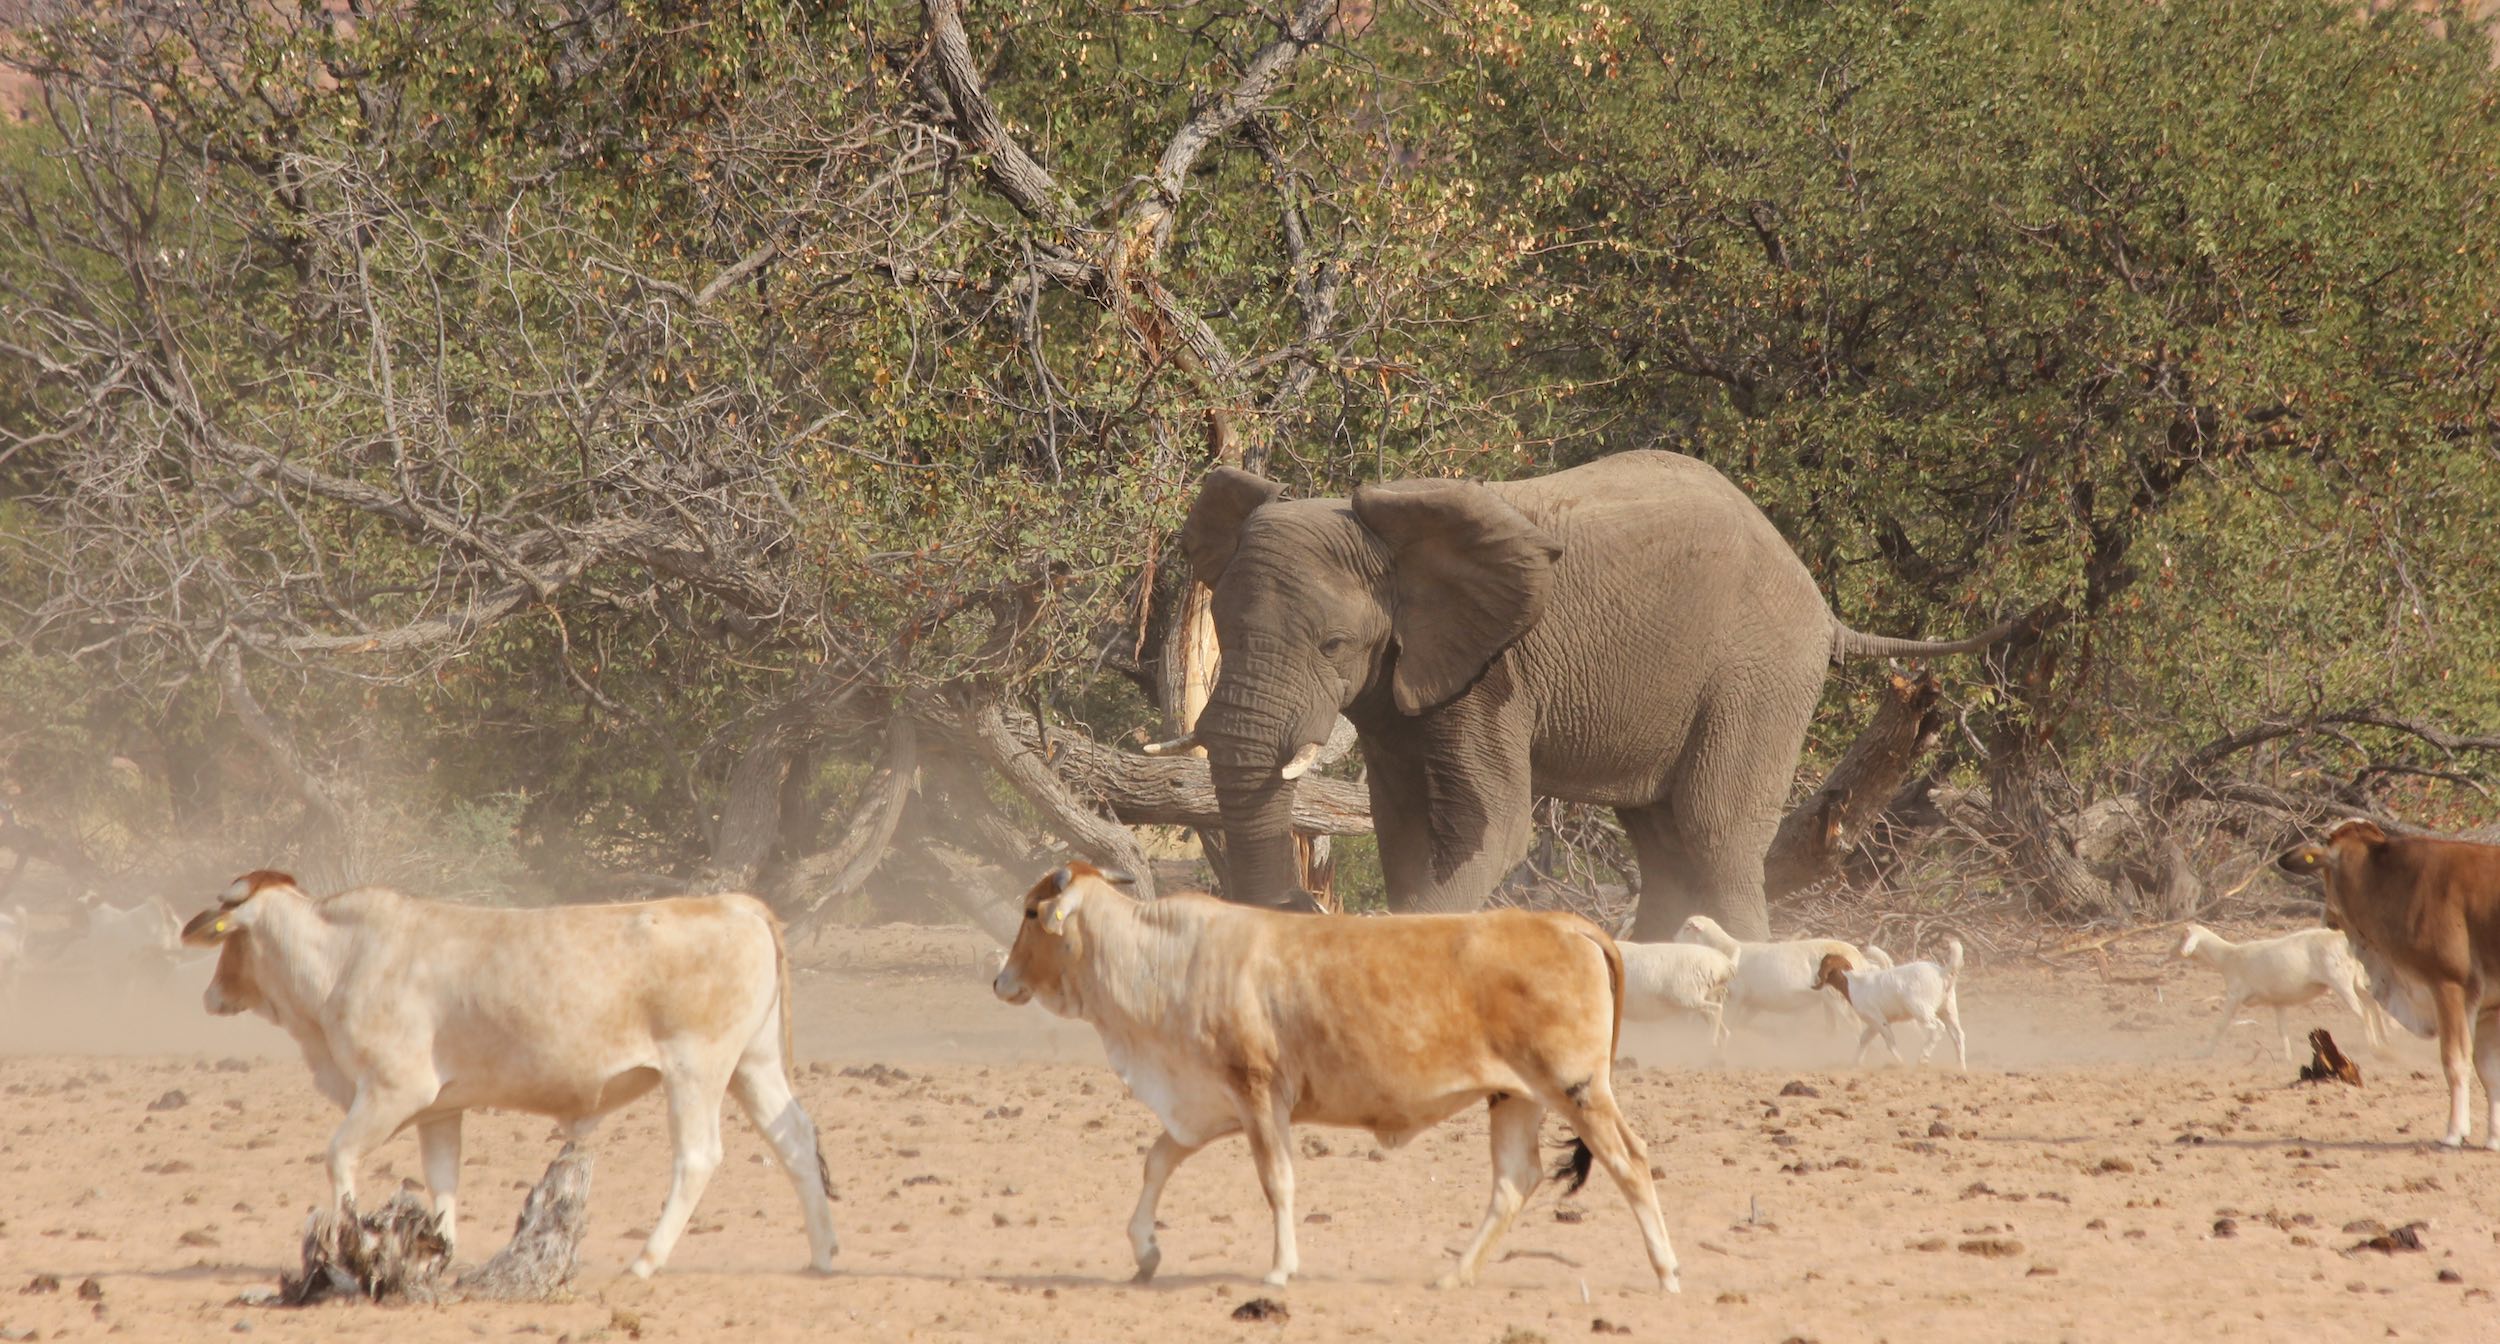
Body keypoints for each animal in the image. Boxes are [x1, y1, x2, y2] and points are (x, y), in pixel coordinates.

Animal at [179, 869, 840, 1276]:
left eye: (229, 940)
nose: (209, 994)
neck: (342, 957)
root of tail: (735, 903)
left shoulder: (393, 1090)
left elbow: (339, 1156)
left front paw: (349, 1244)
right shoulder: (439, 1108)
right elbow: (442, 1180)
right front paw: (440, 1253)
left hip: (695, 1071)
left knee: (698, 1157)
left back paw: (646, 1260)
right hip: (752, 1066)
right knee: (796, 1142)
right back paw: (824, 1253)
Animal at [991, 862, 1679, 1292]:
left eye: (1029, 911)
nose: (1000, 980)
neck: (1169, 958)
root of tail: (1570, 923)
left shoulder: (1259, 1094)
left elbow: (1277, 1182)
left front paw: (1279, 1270)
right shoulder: (1208, 1105)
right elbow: (1158, 1160)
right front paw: (1145, 1251)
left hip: (1578, 1089)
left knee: (1631, 1162)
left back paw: (1667, 1270)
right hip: (1515, 1097)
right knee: (1515, 1182)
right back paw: (1454, 1274)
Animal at [1169, 449, 2001, 941]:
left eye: (1333, 646)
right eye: (1221, 630)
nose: (1298, 908)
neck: (1400, 543)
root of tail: (1823, 606)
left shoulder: (1494, 674)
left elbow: (1492, 830)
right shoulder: (1403, 683)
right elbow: (1400, 824)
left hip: (1760, 673)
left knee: (1716, 829)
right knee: (1663, 838)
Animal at [2278, 820, 2500, 1149]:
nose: (2327, 916)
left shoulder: (2448, 986)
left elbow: (2455, 1061)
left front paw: (2453, 1132)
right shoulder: (2489, 1007)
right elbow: (2489, 1071)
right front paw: (2494, 1139)